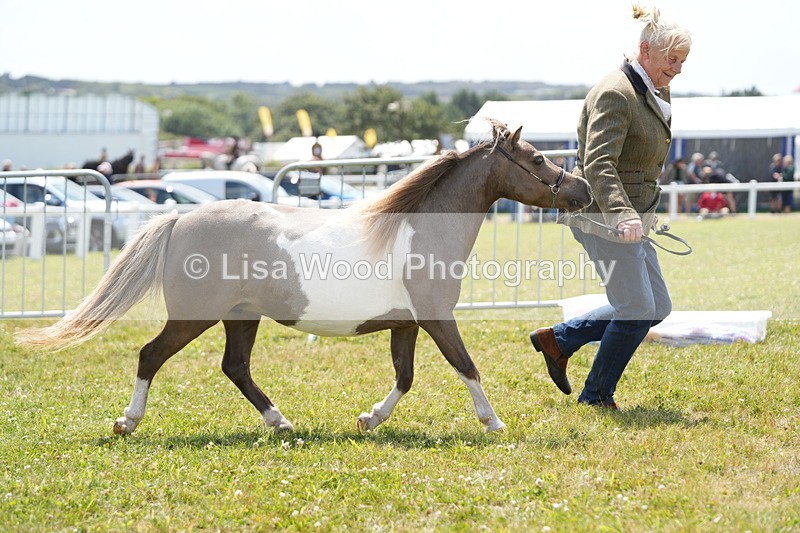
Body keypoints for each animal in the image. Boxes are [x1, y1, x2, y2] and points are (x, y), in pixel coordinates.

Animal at [17, 119, 592, 436]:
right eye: (537, 157)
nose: (582, 190)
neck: (419, 229)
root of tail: (180, 218)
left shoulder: (406, 324)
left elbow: (405, 377)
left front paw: (368, 419)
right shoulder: (436, 318)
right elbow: (466, 366)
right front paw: (493, 422)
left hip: (240, 318)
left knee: (235, 368)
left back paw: (281, 422)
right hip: (195, 316)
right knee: (150, 356)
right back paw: (127, 422)